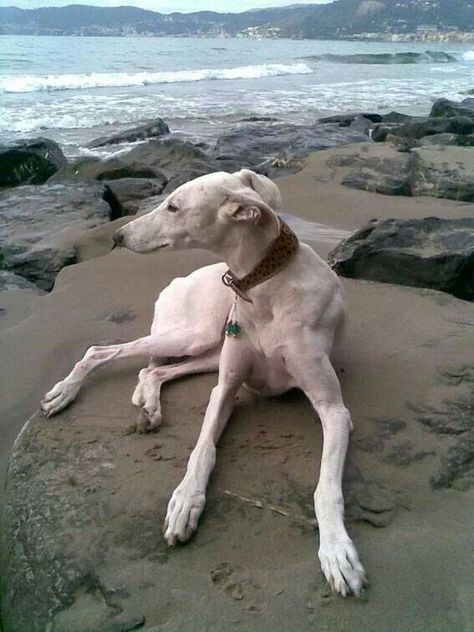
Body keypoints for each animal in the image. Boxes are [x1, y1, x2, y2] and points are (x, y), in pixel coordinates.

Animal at [40, 168, 366, 596]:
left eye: (173, 206)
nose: (118, 237)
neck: (264, 287)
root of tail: (179, 279)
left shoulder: (333, 409)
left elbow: (326, 488)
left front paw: (336, 551)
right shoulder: (225, 388)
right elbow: (202, 449)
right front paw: (185, 502)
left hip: (207, 344)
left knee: (151, 370)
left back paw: (147, 406)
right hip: (195, 336)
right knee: (102, 351)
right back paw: (65, 392)